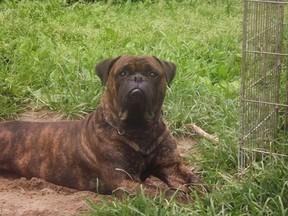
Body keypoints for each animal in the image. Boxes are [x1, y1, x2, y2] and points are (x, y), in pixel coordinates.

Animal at [0, 56, 201, 196]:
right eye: (122, 73)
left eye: (152, 74)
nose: (137, 78)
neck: (139, 128)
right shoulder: (125, 180)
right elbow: (163, 193)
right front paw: (184, 201)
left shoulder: (171, 167)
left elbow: (195, 181)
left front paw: (204, 194)